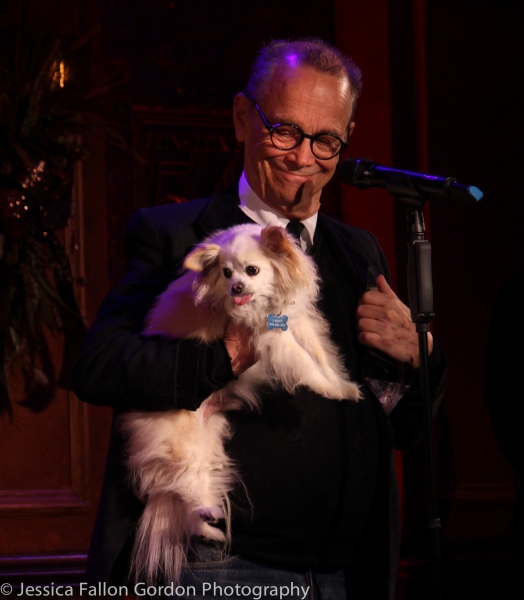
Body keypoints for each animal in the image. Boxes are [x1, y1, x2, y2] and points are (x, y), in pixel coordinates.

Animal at [119, 223, 360, 584]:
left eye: (252, 270)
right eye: (226, 273)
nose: (236, 287)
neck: (263, 302)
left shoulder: (298, 323)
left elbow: (321, 355)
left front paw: (342, 385)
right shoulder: (273, 336)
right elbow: (305, 363)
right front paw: (329, 389)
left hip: (210, 437)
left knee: (195, 488)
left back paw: (208, 525)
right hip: (183, 443)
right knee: (185, 484)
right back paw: (205, 512)